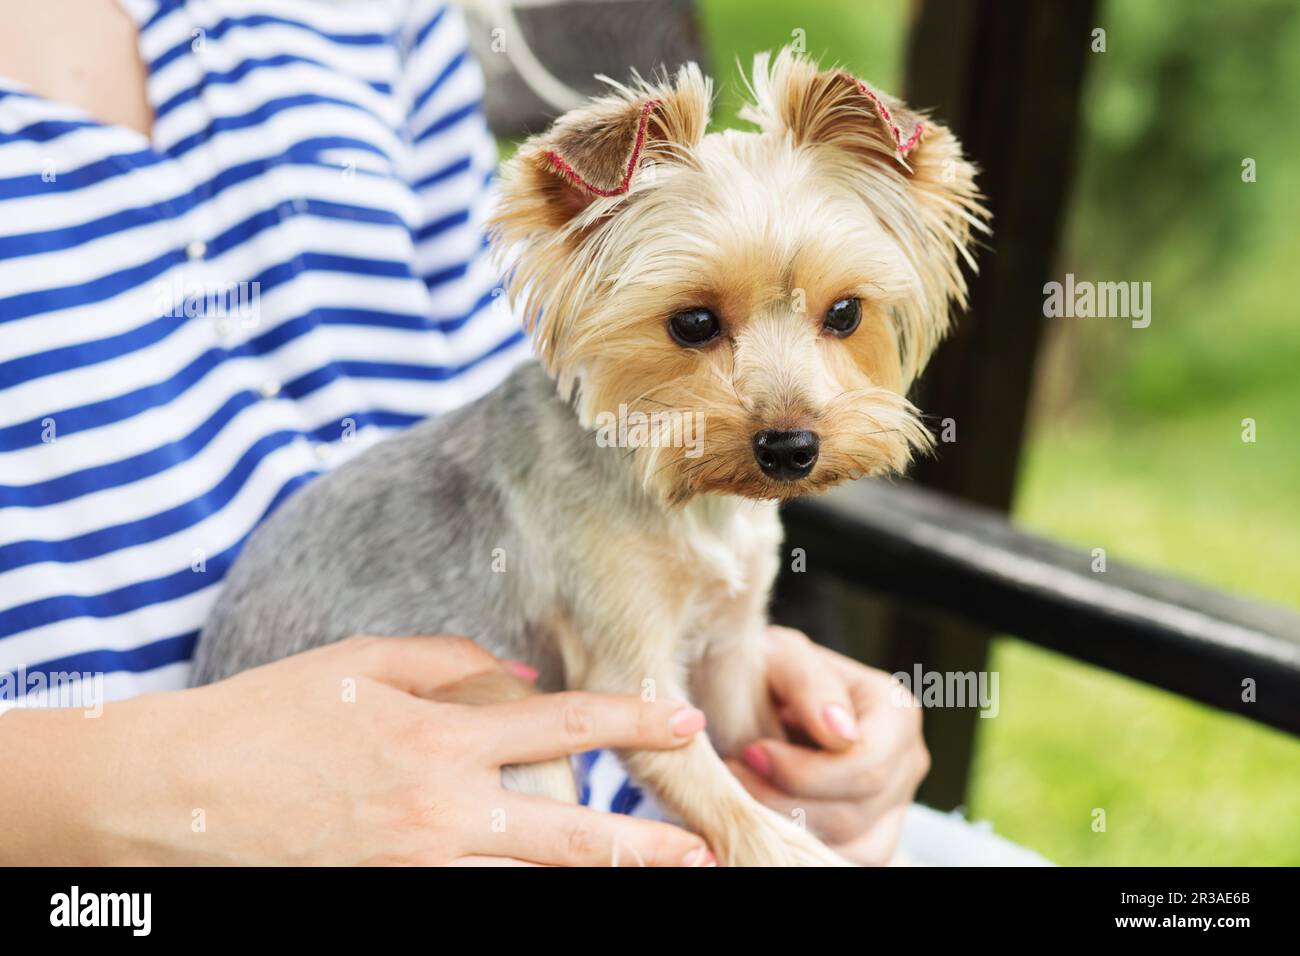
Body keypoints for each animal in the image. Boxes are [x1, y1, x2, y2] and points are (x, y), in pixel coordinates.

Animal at [189, 44, 982, 868]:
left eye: (846, 313)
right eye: (692, 322)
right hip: (497, 698)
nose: (792, 447)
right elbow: (722, 797)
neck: (689, 499)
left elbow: (743, 742)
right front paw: (786, 845)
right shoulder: (626, 667)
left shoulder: (731, 649)